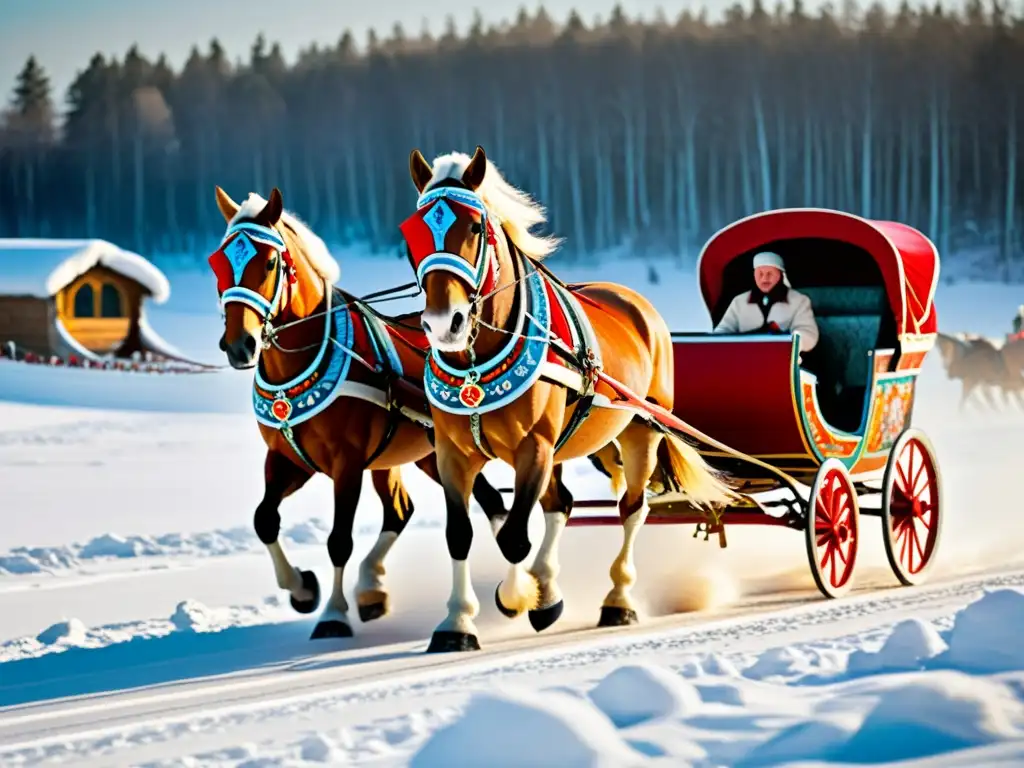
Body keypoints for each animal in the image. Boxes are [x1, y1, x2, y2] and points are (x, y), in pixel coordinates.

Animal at [207, 183, 516, 638]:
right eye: (220, 262)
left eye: (269, 262)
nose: (239, 344)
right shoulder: (286, 459)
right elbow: (264, 519)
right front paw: (302, 588)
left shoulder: (346, 463)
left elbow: (339, 540)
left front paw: (333, 614)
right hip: (424, 455)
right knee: (409, 510)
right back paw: (373, 587)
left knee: (478, 503)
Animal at [399, 147, 737, 651]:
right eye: (413, 231)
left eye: (475, 226)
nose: (445, 323)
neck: (480, 360)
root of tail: (636, 300)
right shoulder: (452, 453)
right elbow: (461, 534)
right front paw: (458, 622)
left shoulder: (534, 447)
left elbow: (514, 537)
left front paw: (516, 597)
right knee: (561, 503)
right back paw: (549, 586)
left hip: (641, 429)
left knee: (631, 510)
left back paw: (617, 600)